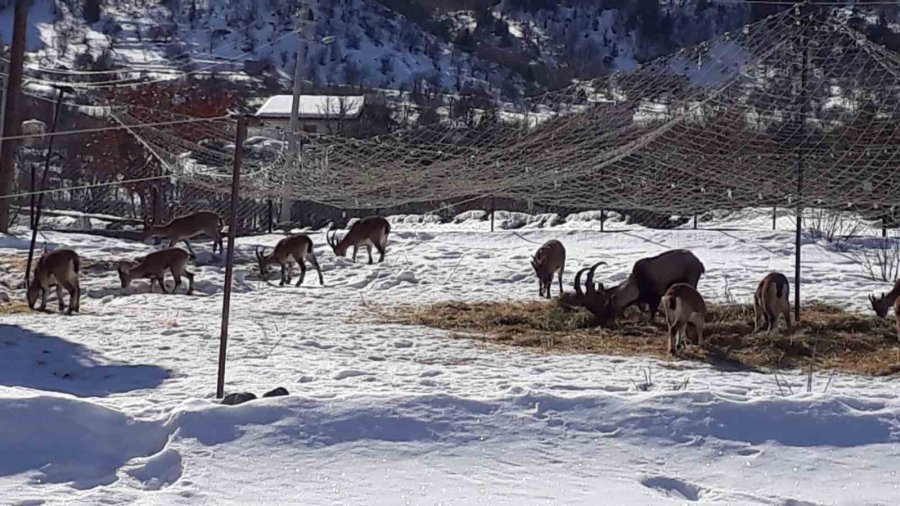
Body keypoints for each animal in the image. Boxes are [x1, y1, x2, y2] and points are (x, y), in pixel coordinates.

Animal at [564, 250, 704, 328]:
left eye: (604, 308)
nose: (603, 322)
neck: (637, 283)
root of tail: (699, 263)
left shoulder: (656, 296)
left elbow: (652, 312)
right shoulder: (642, 300)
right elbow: (642, 308)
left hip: (691, 280)